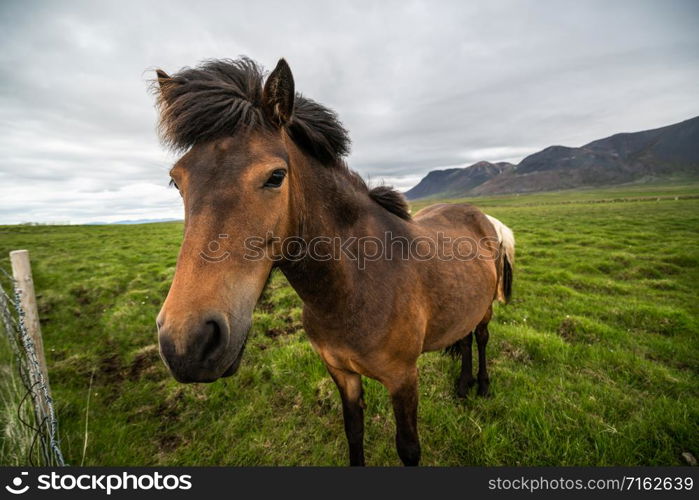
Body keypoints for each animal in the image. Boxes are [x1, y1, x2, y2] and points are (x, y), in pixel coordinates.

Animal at [153, 56, 516, 466]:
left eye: (275, 176)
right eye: (177, 181)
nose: (187, 343)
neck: (354, 285)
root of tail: (482, 216)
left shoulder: (403, 378)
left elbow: (408, 449)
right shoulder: (341, 373)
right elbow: (353, 433)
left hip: (486, 309)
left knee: (481, 338)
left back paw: (482, 386)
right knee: (465, 338)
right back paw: (464, 385)